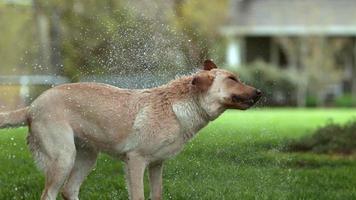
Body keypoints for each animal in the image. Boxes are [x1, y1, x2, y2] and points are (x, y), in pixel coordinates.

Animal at [0, 59, 262, 200]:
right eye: (232, 79)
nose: (260, 92)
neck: (177, 107)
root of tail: (32, 106)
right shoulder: (135, 161)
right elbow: (138, 195)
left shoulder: (157, 165)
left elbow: (157, 194)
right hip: (64, 157)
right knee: (50, 194)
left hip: (87, 157)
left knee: (69, 190)